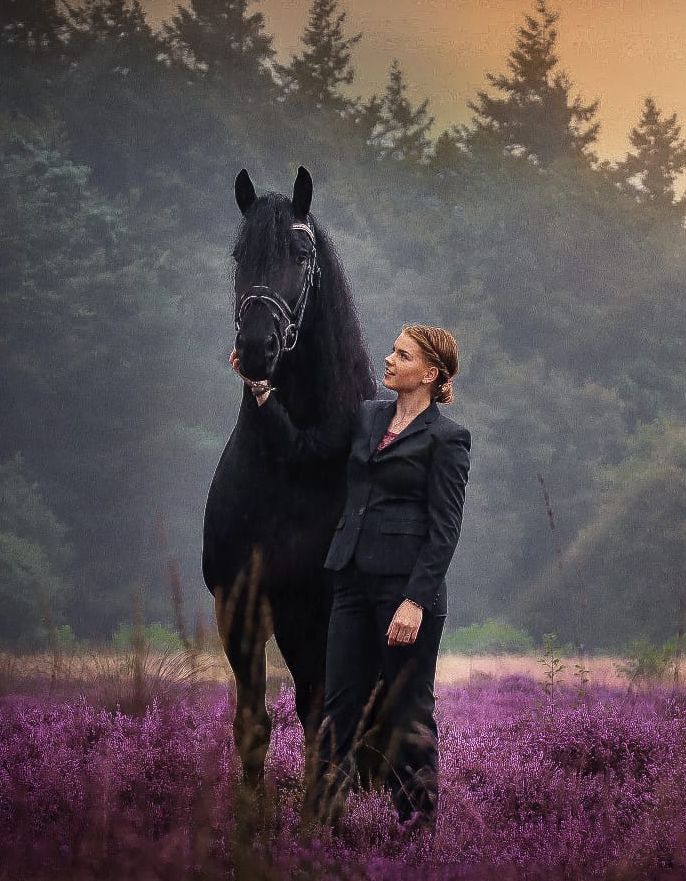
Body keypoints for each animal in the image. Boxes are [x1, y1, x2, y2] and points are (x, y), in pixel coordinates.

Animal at [203, 168, 376, 788]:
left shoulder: (326, 613)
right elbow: (253, 727)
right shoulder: (241, 607)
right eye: (240, 253)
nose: (257, 347)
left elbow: (325, 727)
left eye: (301, 256)